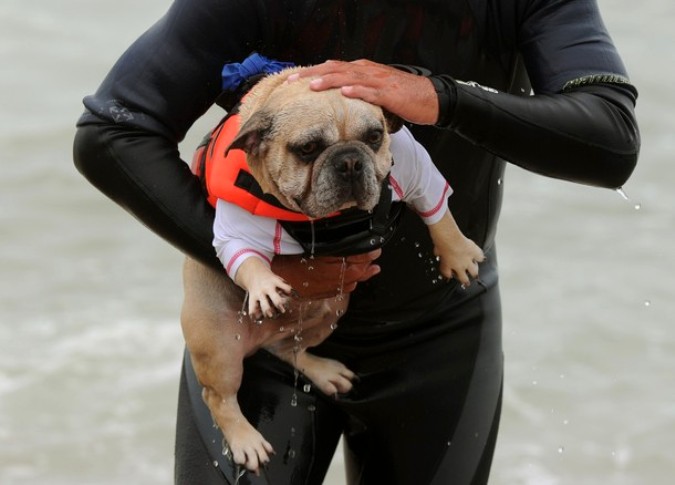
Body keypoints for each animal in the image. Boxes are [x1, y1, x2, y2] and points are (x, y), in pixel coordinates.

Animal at [180, 68, 486, 472]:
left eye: (374, 137)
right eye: (308, 148)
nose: (350, 161)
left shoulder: (414, 166)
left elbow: (436, 207)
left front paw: (457, 253)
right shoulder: (236, 223)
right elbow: (244, 257)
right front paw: (265, 287)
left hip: (330, 313)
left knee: (288, 350)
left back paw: (324, 372)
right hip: (220, 348)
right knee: (219, 397)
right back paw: (245, 439)